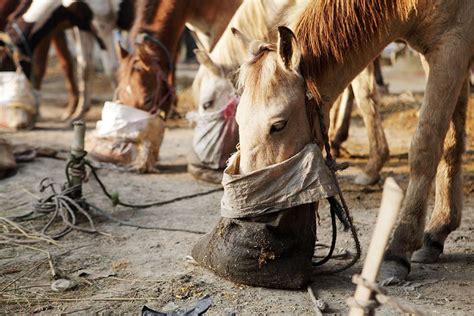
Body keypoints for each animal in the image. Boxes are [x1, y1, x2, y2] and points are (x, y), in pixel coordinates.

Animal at [234, 0, 474, 282]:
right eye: (239, 119)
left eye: (278, 125)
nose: (252, 218)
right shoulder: (441, 56)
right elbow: (451, 143)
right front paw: (438, 231)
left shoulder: (451, 46)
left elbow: (425, 145)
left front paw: (398, 250)